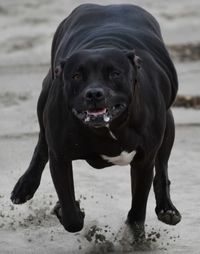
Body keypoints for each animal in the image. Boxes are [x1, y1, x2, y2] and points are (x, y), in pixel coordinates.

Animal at [10, 3, 181, 237]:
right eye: (76, 75)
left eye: (115, 73)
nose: (93, 94)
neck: (107, 129)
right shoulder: (60, 158)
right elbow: (71, 218)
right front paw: (67, 210)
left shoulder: (144, 161)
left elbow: (138, 206)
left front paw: (134, 233)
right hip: (43, 100)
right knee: (42, 146)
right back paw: (25, 185)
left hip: (168, 127)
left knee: (162, 168)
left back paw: (167, 209)